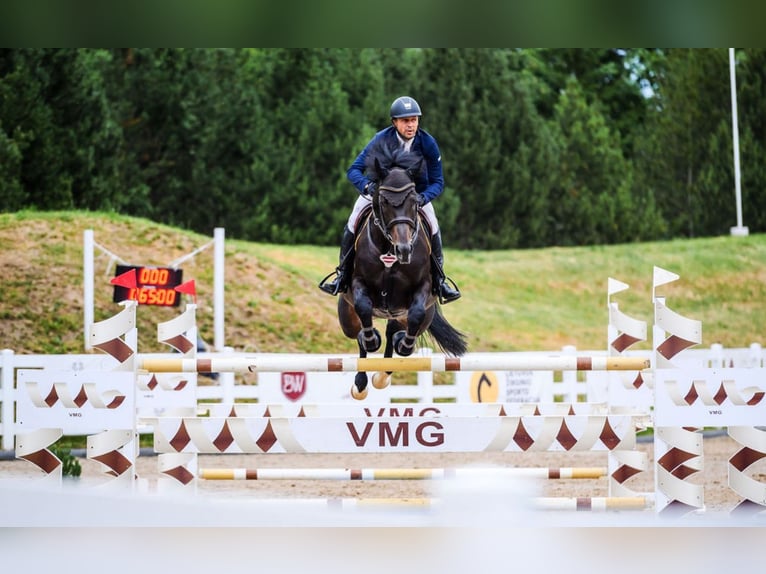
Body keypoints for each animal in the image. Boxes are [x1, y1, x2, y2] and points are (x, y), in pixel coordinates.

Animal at [340, 144, 472, 400]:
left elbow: (416, 314)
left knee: (396, 334)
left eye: (413, 201)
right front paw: (370, 340)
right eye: (384, 201)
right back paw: (361, 380)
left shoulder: (423, 289)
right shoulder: (358, 283)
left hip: (403, 315)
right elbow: (363, 307)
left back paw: (385, 371)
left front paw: (404, 345)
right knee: (359, 334)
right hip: (347, 317)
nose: (404, 249)